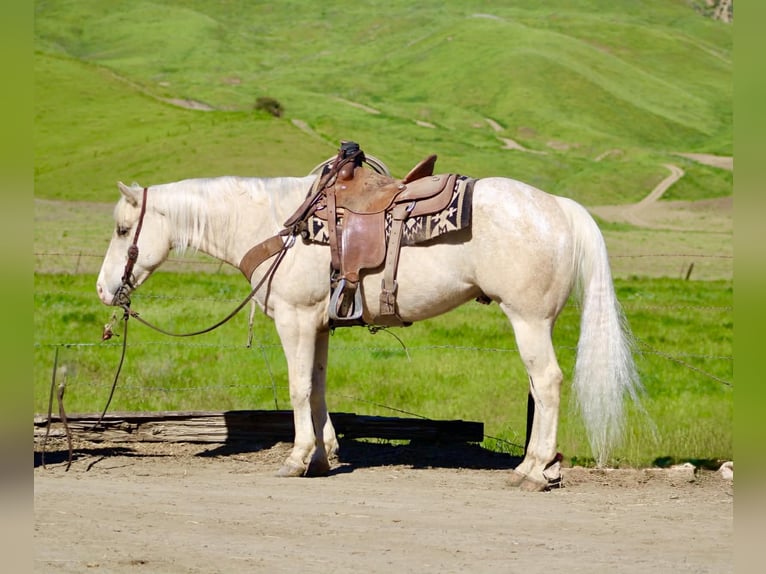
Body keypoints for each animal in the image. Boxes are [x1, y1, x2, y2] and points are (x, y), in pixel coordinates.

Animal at [96, 166, 641, 491]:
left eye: (123, 230)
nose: (104, 290)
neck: (278, 226)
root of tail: (559, 207)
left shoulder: (295, 319)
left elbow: (297, 389)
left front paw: (297, 459)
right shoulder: (317, 324)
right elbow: (317, 389)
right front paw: (322, 457)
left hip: (528, 320)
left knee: (546, 383)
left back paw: (532, 471)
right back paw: (537, 466)